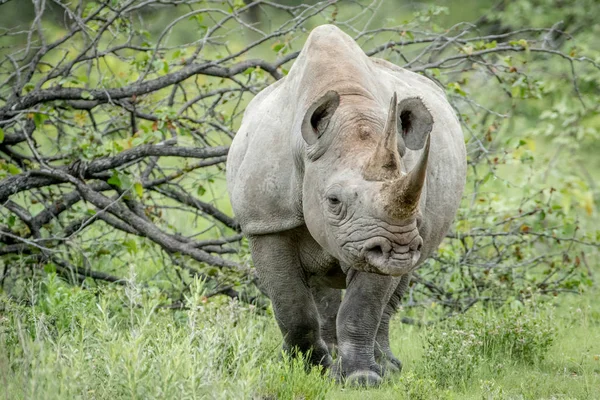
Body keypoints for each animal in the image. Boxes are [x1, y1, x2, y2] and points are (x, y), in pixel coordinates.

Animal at [227, 24, 466, 384]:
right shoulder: (267, 222)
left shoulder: (385, 232)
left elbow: (362, 307)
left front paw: (361, 378)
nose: (398, 250)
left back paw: (386, 367)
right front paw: (308, 369)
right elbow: (291, 305)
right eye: (333, 200)